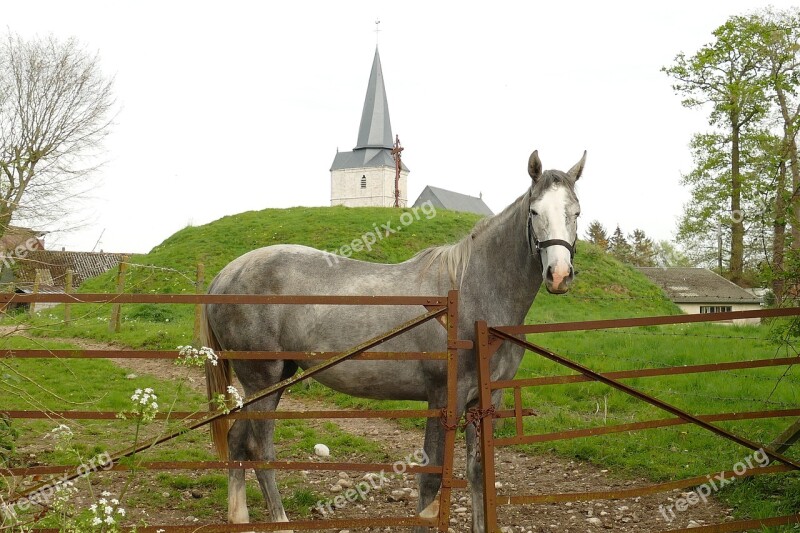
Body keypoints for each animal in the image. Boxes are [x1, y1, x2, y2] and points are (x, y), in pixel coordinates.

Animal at [203, 148, 584, 528]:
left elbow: (477, 473)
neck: (470, 294)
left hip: (273, 381)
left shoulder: (483, 402)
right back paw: (279, 519)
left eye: (576, 211)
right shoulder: (444, 397)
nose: (559, 274)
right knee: (260, 449)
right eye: (534, 211)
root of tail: (225, 275)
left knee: (237, 441)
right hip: (263, 382)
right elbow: (431, 479)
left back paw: (239, 516)